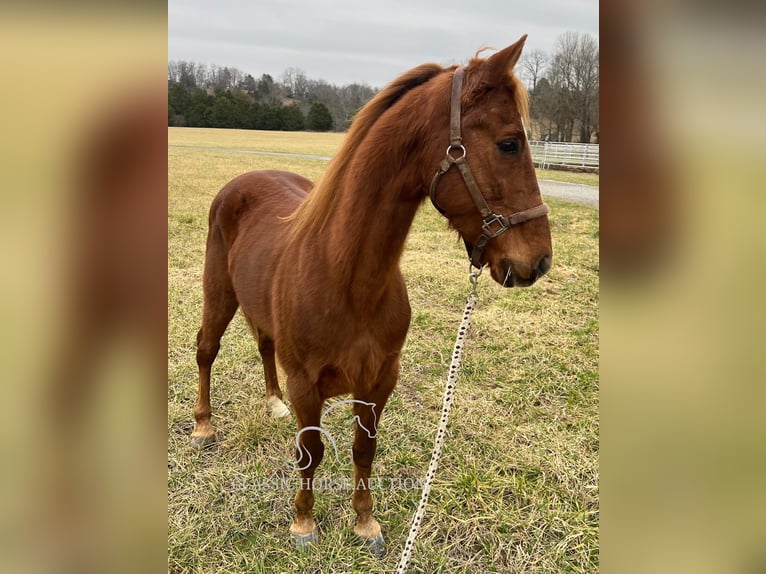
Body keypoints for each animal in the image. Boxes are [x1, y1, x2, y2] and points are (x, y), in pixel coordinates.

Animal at [191, 36, 552, 560]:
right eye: (509, 143)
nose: (539, 261)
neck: (347, 278)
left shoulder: (379, 380)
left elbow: (364, 450)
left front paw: (365, 523)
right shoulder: (306, 383)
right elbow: (311, 451)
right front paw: (303, 524)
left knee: (263, 345)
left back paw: (272, 404)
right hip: (218, 295)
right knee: (207, 349)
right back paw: (203, 426)